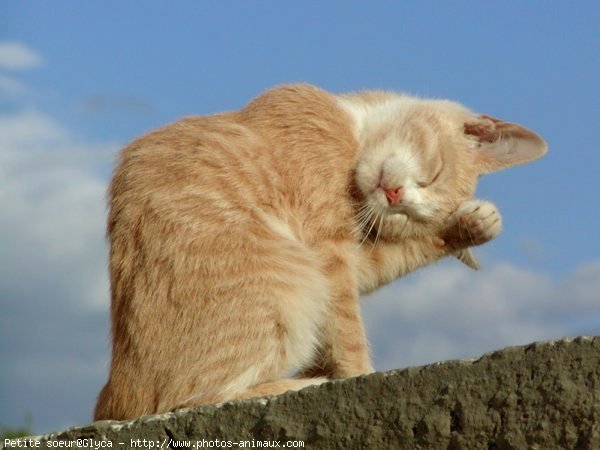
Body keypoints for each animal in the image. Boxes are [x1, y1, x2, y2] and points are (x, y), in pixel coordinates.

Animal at [92, 82, 544, 420]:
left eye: (410, 217)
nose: (395, 197)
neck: (353, 123)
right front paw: (360, 378)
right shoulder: (326, 252)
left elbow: (389, 261)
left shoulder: (348, 254)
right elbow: (348, 333)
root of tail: (117, 395)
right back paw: (302, 382)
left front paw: (472, 226)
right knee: (188, 399)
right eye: (433, 175)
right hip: (295, 284)